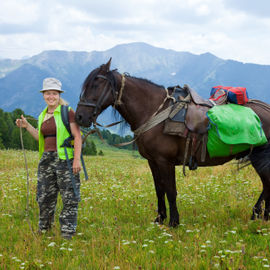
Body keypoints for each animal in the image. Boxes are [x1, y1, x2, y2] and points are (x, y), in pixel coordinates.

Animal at [76, 58, 270, 226]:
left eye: (95, 85)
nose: (79, 117)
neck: (154, 111)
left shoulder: (165, 161)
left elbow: (170, 190)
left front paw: (174, 222)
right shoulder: (153, 161)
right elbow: (159, 189)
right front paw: (160, 219)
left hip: (261, 157)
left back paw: (259, 214)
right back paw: (260, 215)